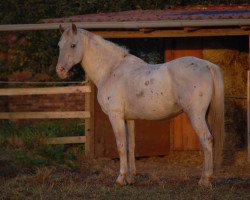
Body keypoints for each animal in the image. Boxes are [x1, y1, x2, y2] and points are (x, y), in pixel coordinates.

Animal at [56, 24, 225, 188]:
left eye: (73, 45)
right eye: (59, 45)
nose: (60, 71)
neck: (111, 70)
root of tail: (207, 65)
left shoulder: (115, 116)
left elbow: (121, 145)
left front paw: (120, 179)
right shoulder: (129, 119)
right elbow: (131, 145)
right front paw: (131, 179)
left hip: (196, 115)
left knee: (206, 139)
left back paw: (205, 180)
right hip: (205, 115)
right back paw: (204, 178)